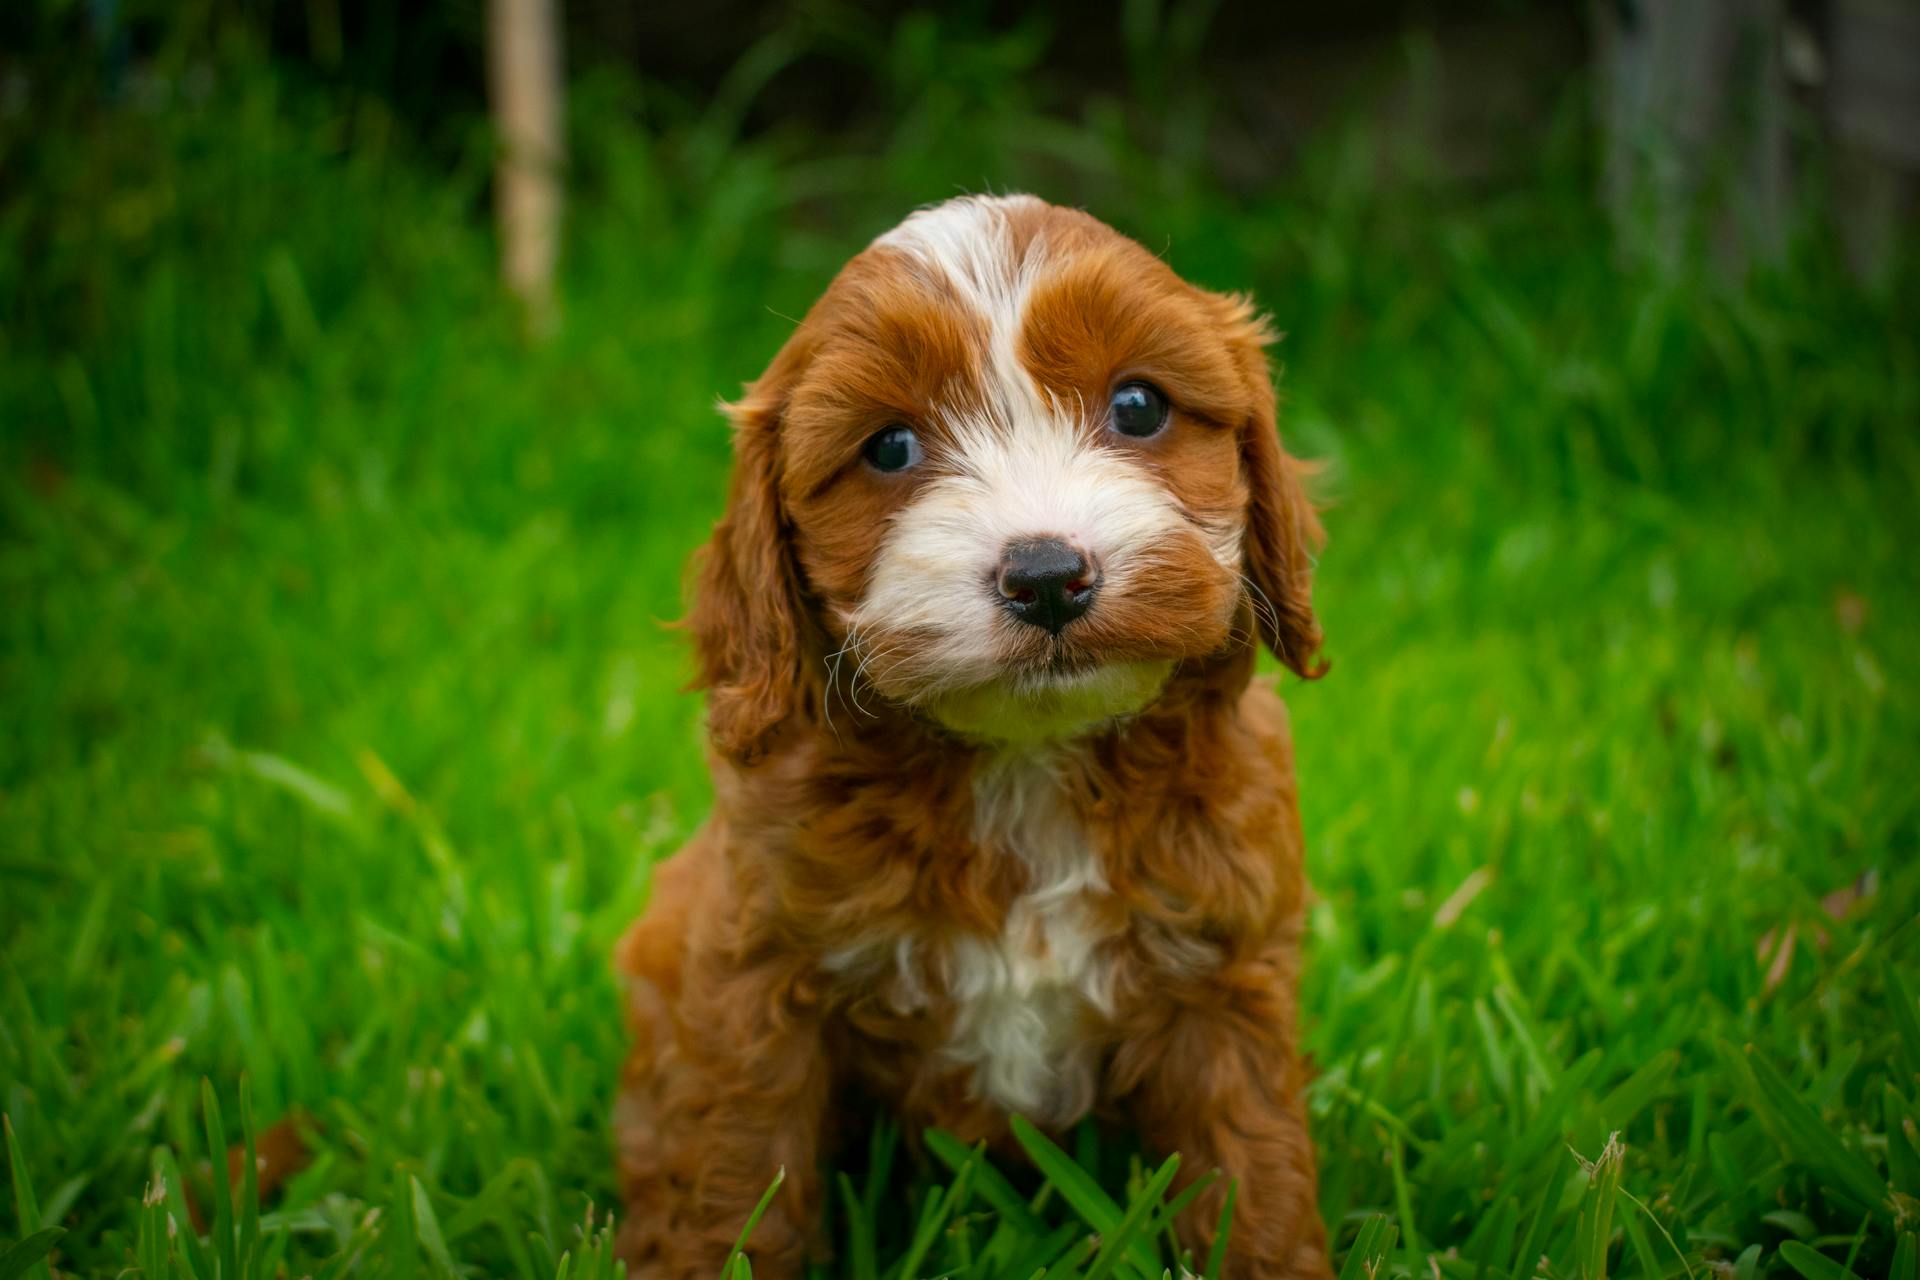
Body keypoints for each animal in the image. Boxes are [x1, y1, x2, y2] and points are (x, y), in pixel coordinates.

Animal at [618, 192, 1336, 1280]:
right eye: (889, 448)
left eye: (1139, 407)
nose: (1046, 576)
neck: (1025, 760)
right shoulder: (755, 974)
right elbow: (738, 1165)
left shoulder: (1223, 970)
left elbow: (1251, 1164)